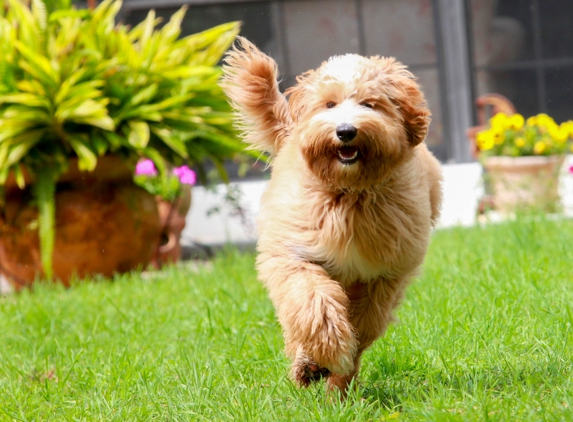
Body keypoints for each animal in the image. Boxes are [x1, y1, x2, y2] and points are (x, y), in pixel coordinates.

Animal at [220, 37, 442, 396]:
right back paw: (306, 365)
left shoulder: (383, 275)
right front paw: (326, 351)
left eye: (370, 104)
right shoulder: (294, 256)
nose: (346, 131)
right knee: (298, 320)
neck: (348, 194)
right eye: (329, 104)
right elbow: (312, 303)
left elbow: (363, 325)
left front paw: (338, 371)